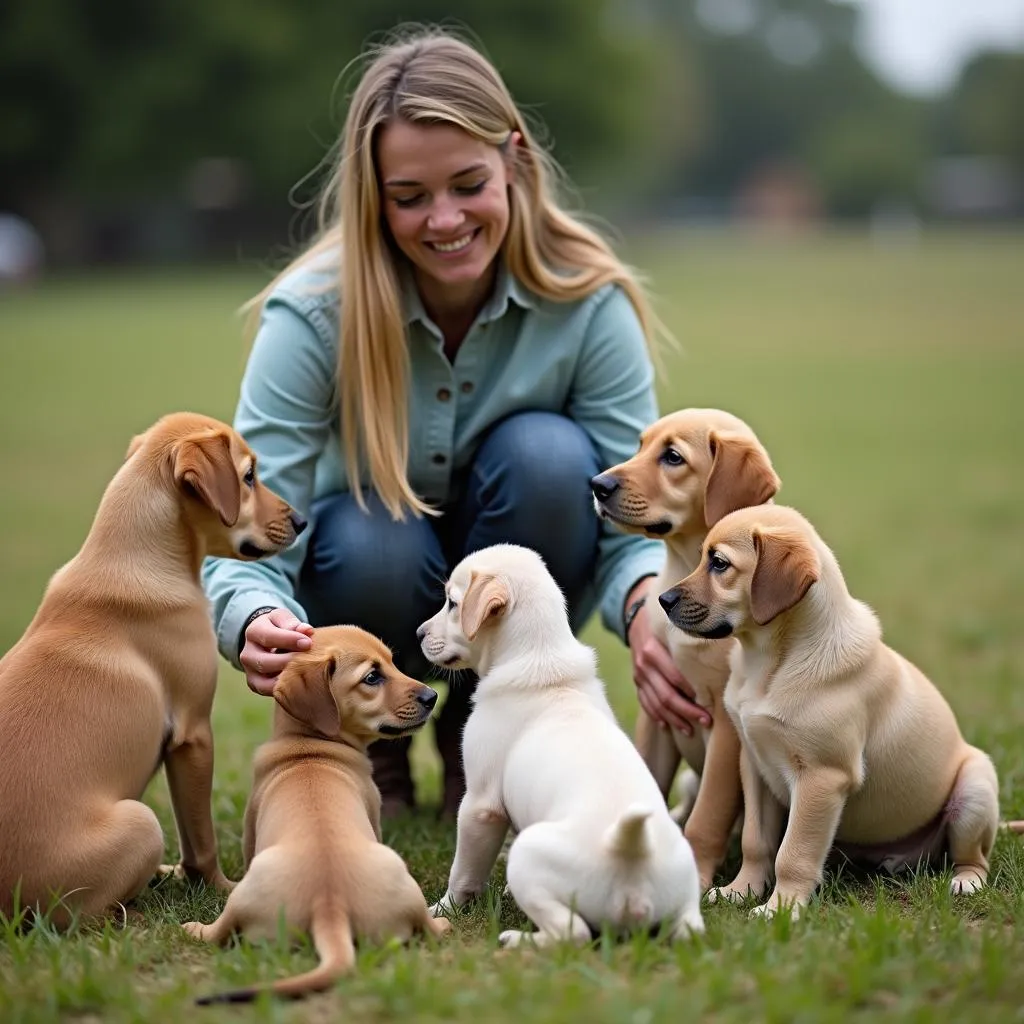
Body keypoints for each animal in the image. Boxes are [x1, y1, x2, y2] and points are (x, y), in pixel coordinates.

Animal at [0, 409, 303, 929]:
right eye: (248, 476)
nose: (302, 521)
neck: (131, 559)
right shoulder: (192, 736)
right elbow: (199, 838)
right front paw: (221, 887)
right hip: (140, 823)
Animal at [415, 540, 704, 946]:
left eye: (452, 604)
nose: (418, 633)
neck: (541, 659)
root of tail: (631, 851)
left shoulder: (480, 805)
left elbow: (464, 872)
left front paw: (442, 910)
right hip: (684, 892)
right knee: (691, 928)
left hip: (528, 858)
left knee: (574, 933)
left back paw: (517, 940)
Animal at [589, 407, 778, 888]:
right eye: (639, 445)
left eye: (672, 457)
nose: (597, 484)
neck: (682, 568)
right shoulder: (657, 711)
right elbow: (645, 781)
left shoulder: (726, 726)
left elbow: (708, 816)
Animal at [655, 505, 999, 921]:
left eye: (719, 563)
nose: (663, 599)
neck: (769, 663)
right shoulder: (754, 764)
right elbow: (756, 841)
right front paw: (740, 891)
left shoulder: (822, 776)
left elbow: (793, 854)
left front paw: (779, 910)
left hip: (974, 791)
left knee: (975, 858)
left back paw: (966, 881)